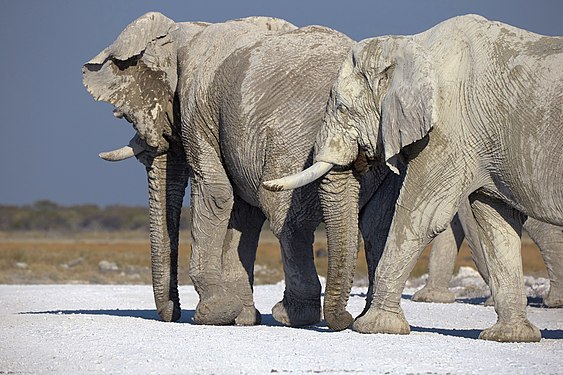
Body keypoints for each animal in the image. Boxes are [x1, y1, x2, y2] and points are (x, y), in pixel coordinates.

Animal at [83, 11, 370, 328]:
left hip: (298, 141)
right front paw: (242, 317)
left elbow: (216, 193)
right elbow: (243, 213)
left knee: (288, 218)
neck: (183, 33)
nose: (171, 314)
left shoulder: (197, 105)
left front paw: (214, 313)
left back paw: (291, 315)